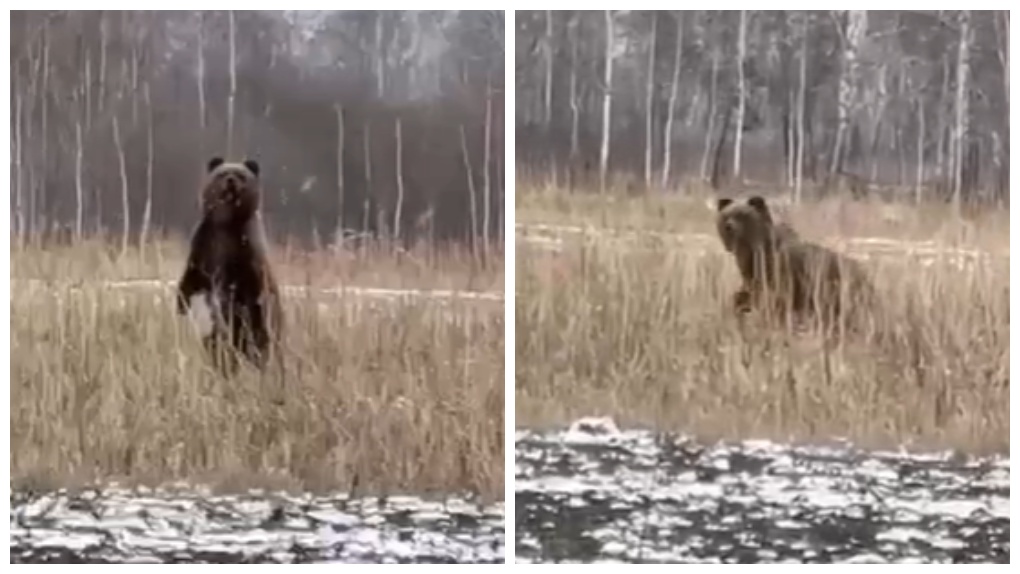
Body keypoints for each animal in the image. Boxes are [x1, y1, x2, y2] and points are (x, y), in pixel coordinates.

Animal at [175, 155, 285, 377]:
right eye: (223, 173)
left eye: (241, 175)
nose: (231, 181)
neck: (226, 224)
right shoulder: (204, 248)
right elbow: (191, 280)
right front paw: (181, 305)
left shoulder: (243, 257)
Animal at [718, 195, 877, 336]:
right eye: (726, 215)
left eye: (743, 215)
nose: (729, 226)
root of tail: (866, 275)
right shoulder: (753, 276)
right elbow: (744, 296)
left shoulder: (780, 274)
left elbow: (774, 302)